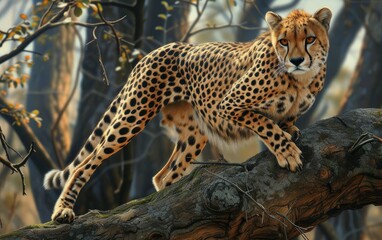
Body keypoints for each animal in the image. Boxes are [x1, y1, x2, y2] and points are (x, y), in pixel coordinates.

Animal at [44, 7, 332, 223]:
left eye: (309, 39)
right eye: (283, 41)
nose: (296, 60)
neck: (301, 78)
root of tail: (152, 51)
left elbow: (284, 121)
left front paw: (291, 131)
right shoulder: (228, 104)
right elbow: (265, 124)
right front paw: (288, 152)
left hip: (194, 134)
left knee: (162, 178)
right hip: (132, 116)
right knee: (84, 164)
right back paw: (63, 210)